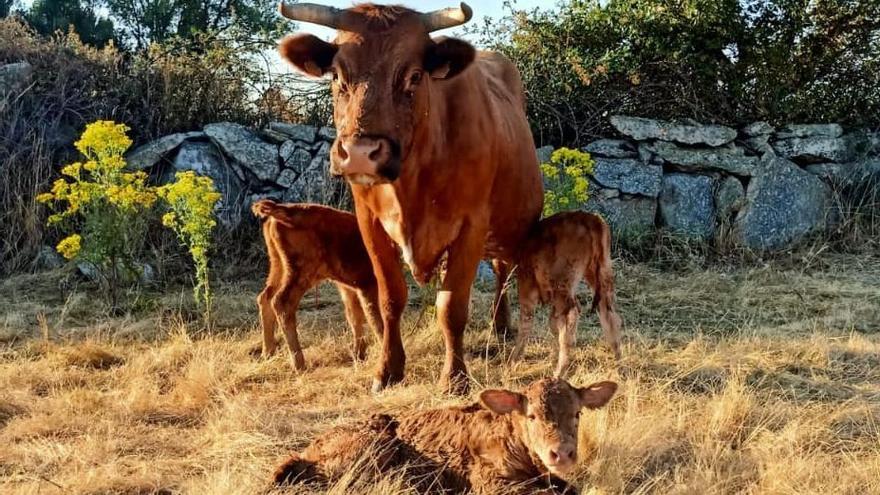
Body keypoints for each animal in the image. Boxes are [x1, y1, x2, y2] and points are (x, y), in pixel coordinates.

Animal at [253, 200, 380, 370]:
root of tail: (283, 210)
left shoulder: (350, 288)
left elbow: (355, 316)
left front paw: (359, 355)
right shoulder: (368, 284)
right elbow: (376, 319)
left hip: (278, 265)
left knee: (265, 297)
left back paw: (268, 353)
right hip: (302, 272)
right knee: (282, 302)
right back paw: (299, 364)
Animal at [272, 378, 616, 494]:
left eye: (577, 414)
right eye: (531, 416)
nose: (562, 453)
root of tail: (308, 450)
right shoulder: (490, 483)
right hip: (371, 446)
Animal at [278, 0, 548, 396]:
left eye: (415, 76)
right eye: (337, 76)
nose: (360, 153)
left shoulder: (471, 226)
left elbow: (451, 306)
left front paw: (455, 377)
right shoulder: (370, 224)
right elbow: (390, 298)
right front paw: (388, 370)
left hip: (508, 228)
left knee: (503, 273)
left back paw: (501, 329)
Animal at [508, 211, 624, 378]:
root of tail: (590, 218)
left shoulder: (527, 283)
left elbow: (527, 320)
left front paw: (513, 361)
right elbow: (553, 323)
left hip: (562, 286)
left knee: (571, 316)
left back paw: (559, 372)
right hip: (601, 275)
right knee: (610, 316)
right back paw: (620, 366)